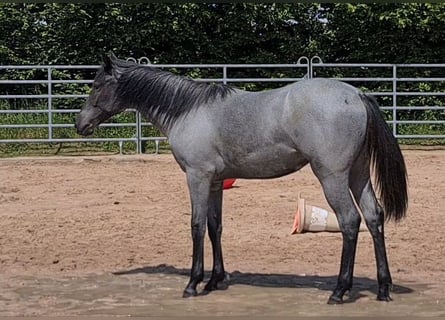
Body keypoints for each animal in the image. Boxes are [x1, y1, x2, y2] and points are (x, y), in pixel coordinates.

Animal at [75, 53, 406, 304]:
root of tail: (356, 95)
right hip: (358, 174)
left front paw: (193, 283)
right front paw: (215, 280)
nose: (81, 124)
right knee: (374, 217)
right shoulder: (216, 182)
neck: (188, 111)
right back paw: (383, 288)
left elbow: (196, 226)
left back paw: (339, 290)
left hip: (332, 177)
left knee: (350, 221)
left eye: (97, 85)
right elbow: (215, 227)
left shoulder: (197, 177)